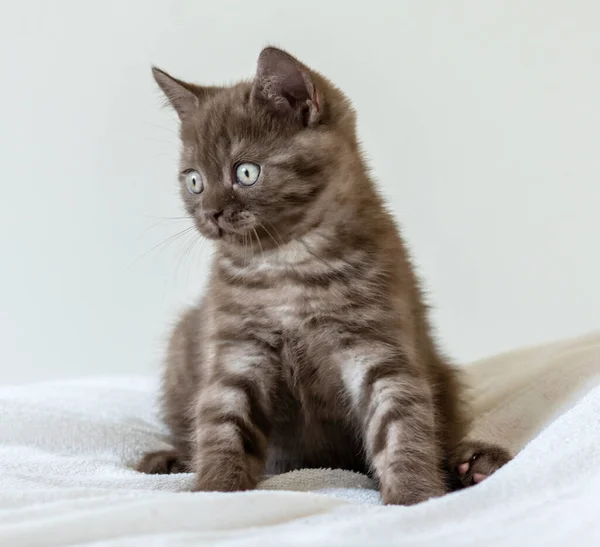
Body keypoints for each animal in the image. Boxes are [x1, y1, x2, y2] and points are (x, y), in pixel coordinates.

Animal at [137, 47, 510, 506]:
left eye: (246, 172)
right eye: (194, 181)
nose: (211, 213)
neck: (287, 264)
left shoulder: (374, 343)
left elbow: (400, 422)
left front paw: (414, 498)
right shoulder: (238, 348)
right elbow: (223, 420)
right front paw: (216, 492)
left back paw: (474, 463)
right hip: (183, 340)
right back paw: (168, 459)